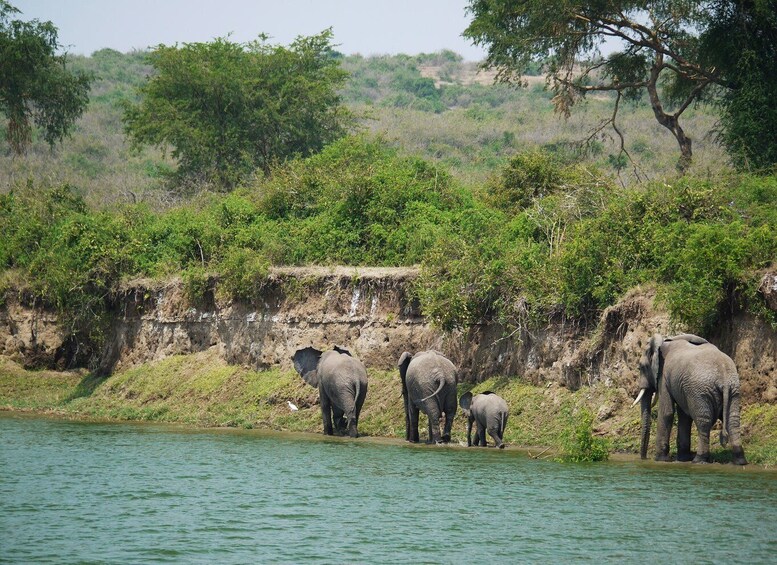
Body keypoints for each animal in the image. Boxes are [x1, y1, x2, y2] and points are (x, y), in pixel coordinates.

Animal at [636, 332, 744, 464]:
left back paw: (699, 459)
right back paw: (740, 461)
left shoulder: (664, 375)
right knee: (732, 421)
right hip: (733, 389)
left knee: (703, 421)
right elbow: (684, 417)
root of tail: (723, 376)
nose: (644, 458)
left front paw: (660, 459)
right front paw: (683, 459)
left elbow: (667, 412)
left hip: (699, 391)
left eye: (640, 367)